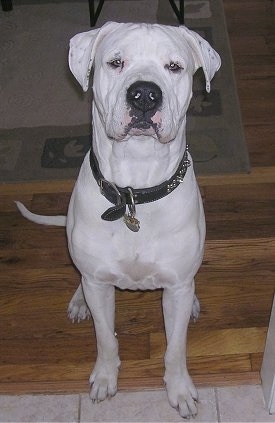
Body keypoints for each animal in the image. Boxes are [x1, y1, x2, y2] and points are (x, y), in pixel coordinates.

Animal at [16, 21, 221, 420]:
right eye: (115, 62)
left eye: (174, 67)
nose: (144, 95)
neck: (134, 193)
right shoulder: (99, 284)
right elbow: (105, 337)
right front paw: (105, 377)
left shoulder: (176, 287)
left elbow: (175, 348)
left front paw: (180, 390)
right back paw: (78, 301)